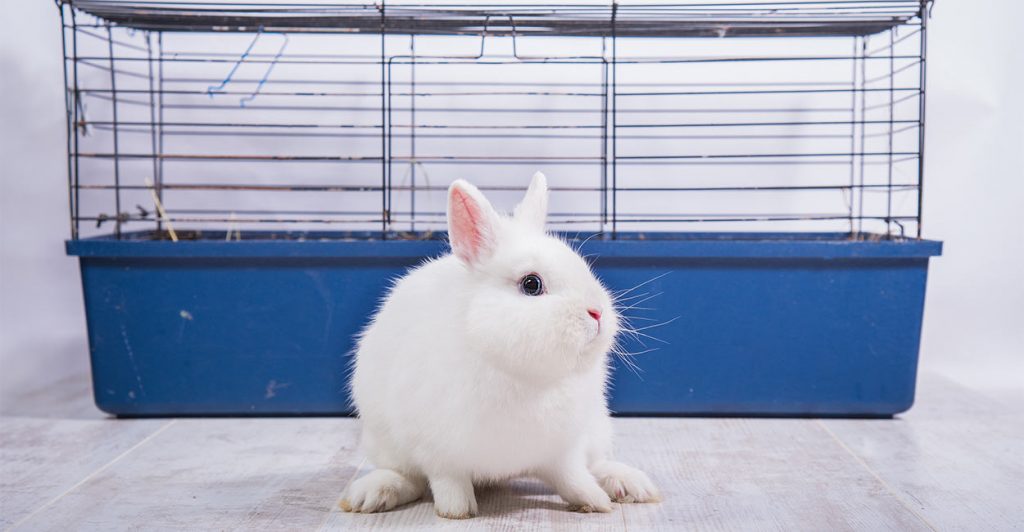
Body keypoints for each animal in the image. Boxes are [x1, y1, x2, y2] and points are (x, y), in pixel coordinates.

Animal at [340, 172, 660, 519]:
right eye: (531, 284)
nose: (597, 313)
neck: (524, 375)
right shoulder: (437, 450)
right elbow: (447, 482)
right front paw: (458, 511)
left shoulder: (562, 449)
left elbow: (573, 477)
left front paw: (596, 501)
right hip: (384, 442)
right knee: (408, 477)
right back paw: (372, 493)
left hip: (598, 427)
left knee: (597, 462)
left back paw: (629, 484)